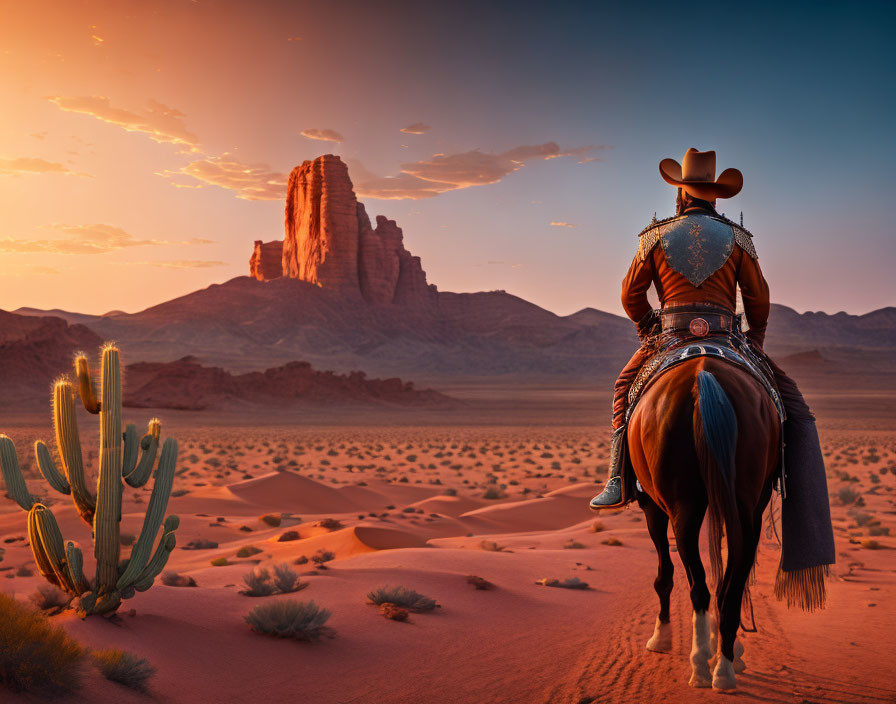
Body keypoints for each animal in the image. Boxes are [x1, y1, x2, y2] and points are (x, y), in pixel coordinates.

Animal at [628, 354, 780, 692]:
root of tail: (703, 379)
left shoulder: (651, 506)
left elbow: (665, 575)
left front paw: (661, 638)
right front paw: (728, 646)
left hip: (682, 506)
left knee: (698, 586)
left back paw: (700, 666)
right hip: (746, 506)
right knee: (731, 587)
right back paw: (725, 665)